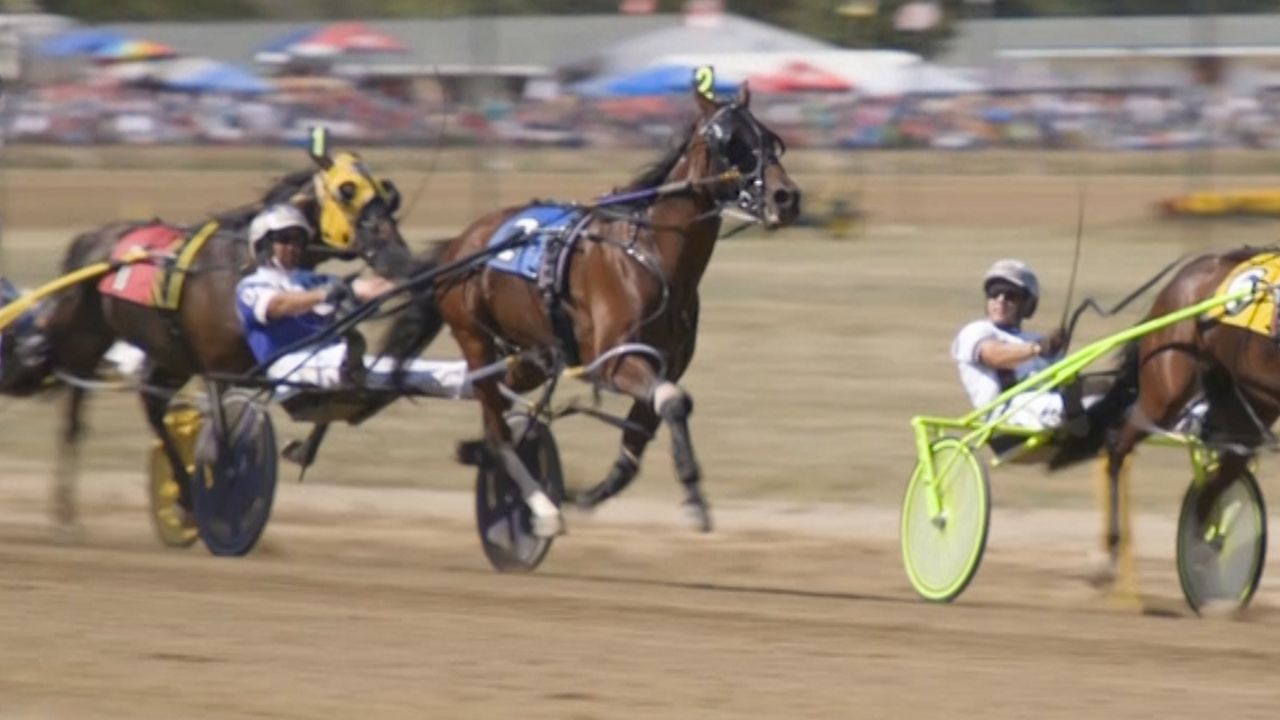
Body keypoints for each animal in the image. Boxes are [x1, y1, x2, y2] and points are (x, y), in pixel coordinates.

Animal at [9, 143, 410, 533]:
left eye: (388, 195)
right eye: (347, 191)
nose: (397, 257)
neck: (242, 263)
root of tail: (91, 239)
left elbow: (329, 384)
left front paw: (304, 447)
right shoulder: (220, 370)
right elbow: (224, 439)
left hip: (169, 357)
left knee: (152, 407)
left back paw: (184, 500)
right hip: (83, 341)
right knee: (72, 414)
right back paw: (66, 513)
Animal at [385, 83, 801, 536]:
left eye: (770, 139)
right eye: (730, 143)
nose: (786, 197)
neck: (650, 256)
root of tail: (459, 245)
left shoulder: (666, 364)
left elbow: (648, 426)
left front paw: (588, 493)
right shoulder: (614, 361)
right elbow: (674, 403)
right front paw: (694, 496)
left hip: (533, 355)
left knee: (491, 397)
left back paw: (480, 450)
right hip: (474, 336)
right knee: (496, 425)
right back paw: (541, 509)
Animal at [1052, 247, 1280, 587]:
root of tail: (1179, 279)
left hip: (1249, 402)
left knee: (1226, 467)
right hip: (1167, 389)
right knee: (1117, 446)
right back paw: (1110, 555)